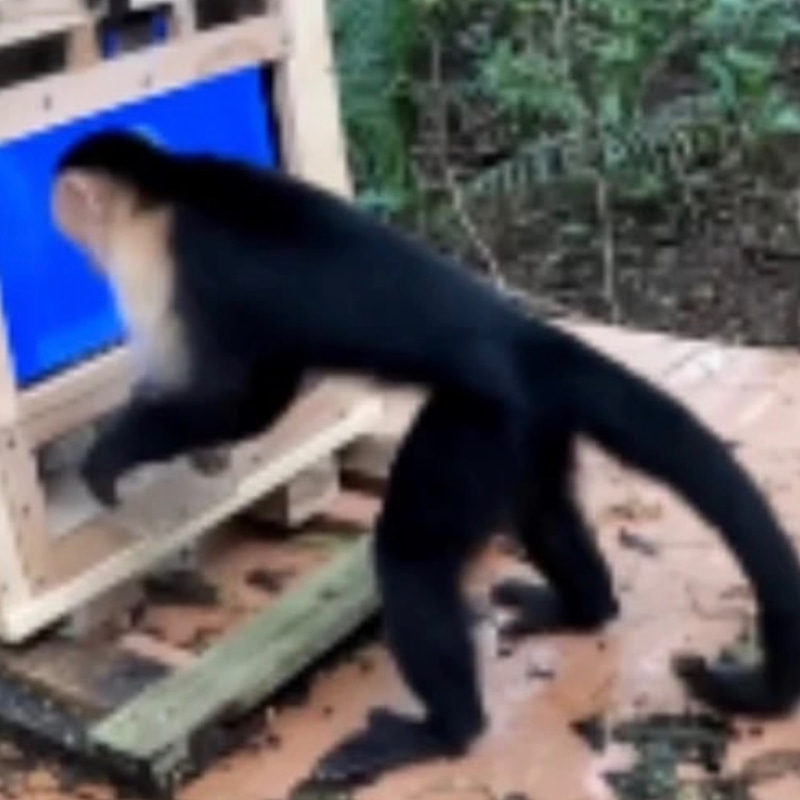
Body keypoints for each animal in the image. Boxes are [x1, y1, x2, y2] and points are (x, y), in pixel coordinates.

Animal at [51, 129, 800, 789]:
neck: (171, 183)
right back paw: (585, 608)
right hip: (526, 421)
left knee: (409, 554)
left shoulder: (161, 261)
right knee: (537, 509)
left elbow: (248, 400)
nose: (64, 234)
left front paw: (111, 451)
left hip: (478, 421)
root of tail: (526, 337)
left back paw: (446, 732)